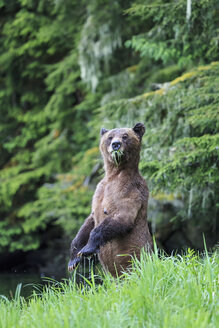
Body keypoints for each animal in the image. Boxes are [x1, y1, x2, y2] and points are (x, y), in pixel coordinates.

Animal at [68, 123, 152, 276]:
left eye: (125, 136)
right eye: (110, 137)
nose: (116, 144)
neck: (115, 174)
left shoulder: (129, 191)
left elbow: (122, 217)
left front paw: (87, 249)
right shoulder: (99, 191)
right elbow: (88, 222)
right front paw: (73, 259)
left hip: (136, 259)